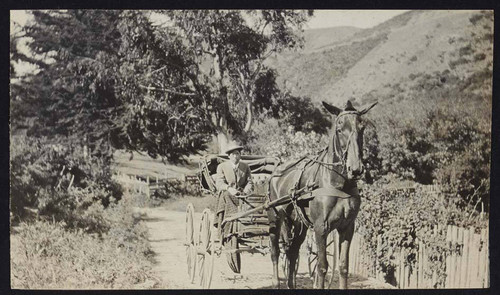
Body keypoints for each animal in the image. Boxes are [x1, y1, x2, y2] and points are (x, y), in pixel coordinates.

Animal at [268, 99, 376, 290]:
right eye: (339, 129)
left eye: (362, 127)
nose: (355, 169)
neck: (339, 184)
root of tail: (277, 170)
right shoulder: (321, 227)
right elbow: (322, 266)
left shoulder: (347, 228)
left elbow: (343, 267)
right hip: (276, 217)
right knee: (276, 251)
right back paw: (276, 282)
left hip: (300, 224)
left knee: (292, 251)